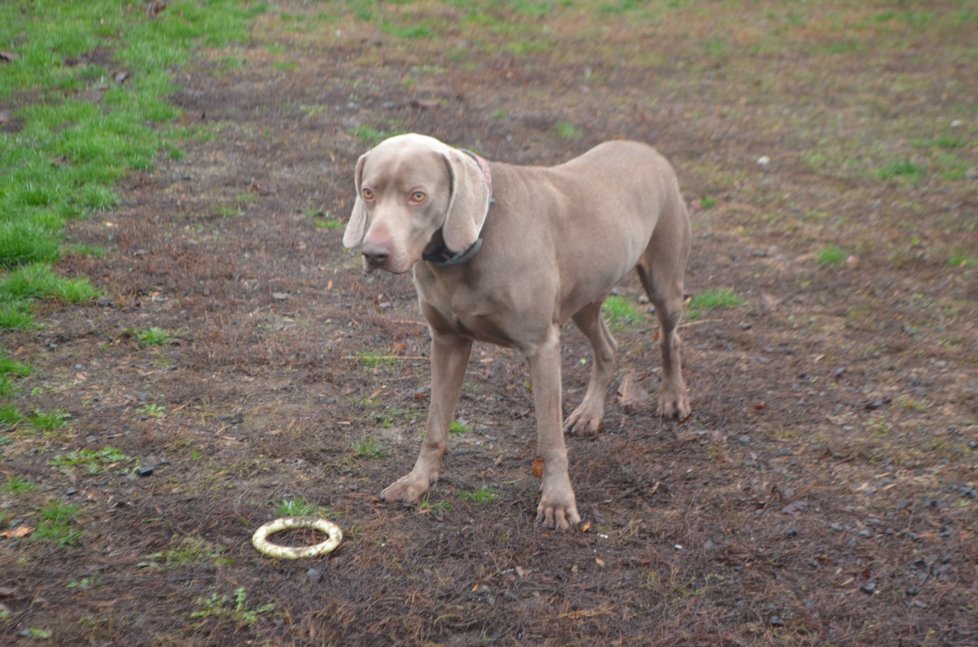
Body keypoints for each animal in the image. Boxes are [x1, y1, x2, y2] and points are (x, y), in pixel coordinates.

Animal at [342, 133, 688, 532]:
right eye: (368, 192)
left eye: (418, 195)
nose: (374, 253)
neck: (476, 237)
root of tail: (645, 148)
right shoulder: (447, 341)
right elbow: (435, 425)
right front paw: (417, 482)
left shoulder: (541, 346)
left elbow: (549, 439)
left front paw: (557, 502)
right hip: (585, 297)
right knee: (608, 347)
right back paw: (589, 414)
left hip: (663, 278)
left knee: (670, 337)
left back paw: (673, 397)